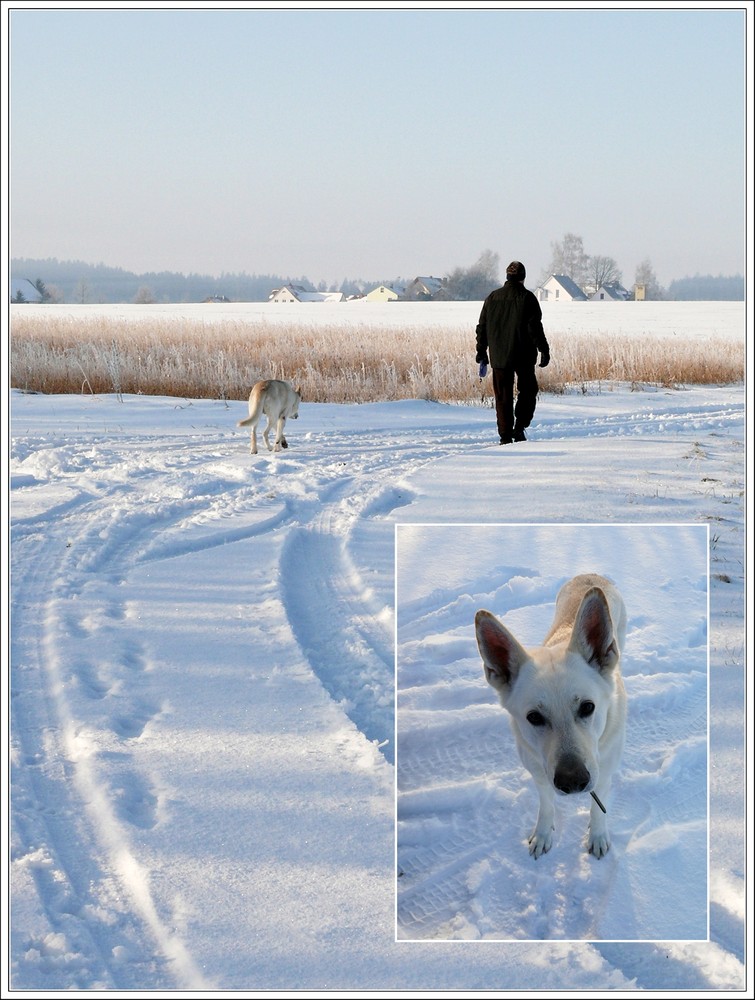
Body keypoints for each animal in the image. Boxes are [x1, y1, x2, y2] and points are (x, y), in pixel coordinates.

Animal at [476, 580, 628, 860]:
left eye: (587, 707)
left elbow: (596, 809)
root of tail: (591, 575)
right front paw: (543, 835)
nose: (573, 781)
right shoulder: (540, 775)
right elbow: (546, 807)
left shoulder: (602, 774)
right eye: (534, 717)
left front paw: (598, 836)